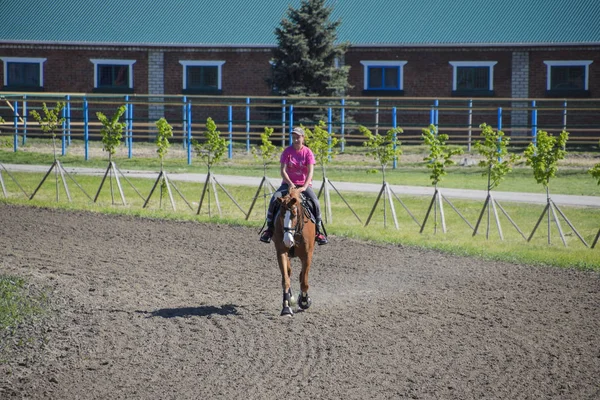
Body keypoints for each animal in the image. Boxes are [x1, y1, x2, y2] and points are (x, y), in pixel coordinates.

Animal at [274, 188, 316, 316]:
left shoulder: (307, 256)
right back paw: (290, 298)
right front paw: (286, 307)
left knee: (301, 276)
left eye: (294, 214)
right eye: (281, 215)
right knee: (289, 272)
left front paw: (304, 301)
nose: (288, 240)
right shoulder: (281, 252)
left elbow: (304, 281)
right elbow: (285, 280)